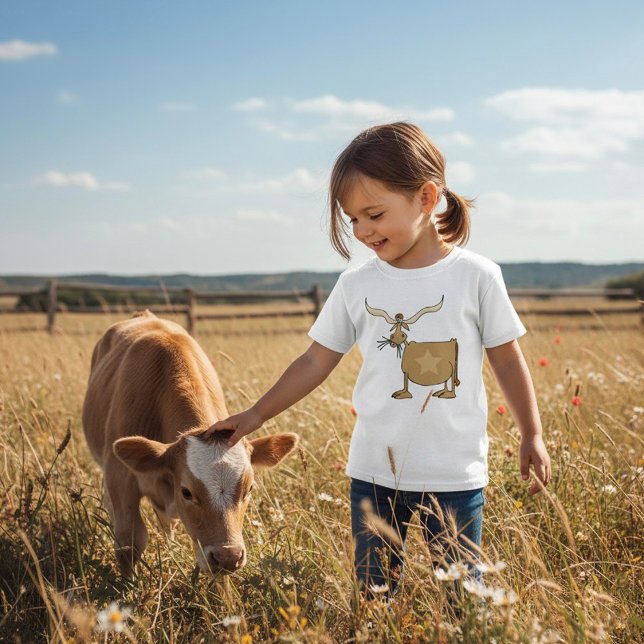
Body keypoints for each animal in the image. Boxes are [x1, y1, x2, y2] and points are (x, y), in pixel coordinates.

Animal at [82, 310, 297, 576]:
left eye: (249, 489)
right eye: (187, 492)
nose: (228, 557)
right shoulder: (119, 476)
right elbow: (130, 541)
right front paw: (127, 584)